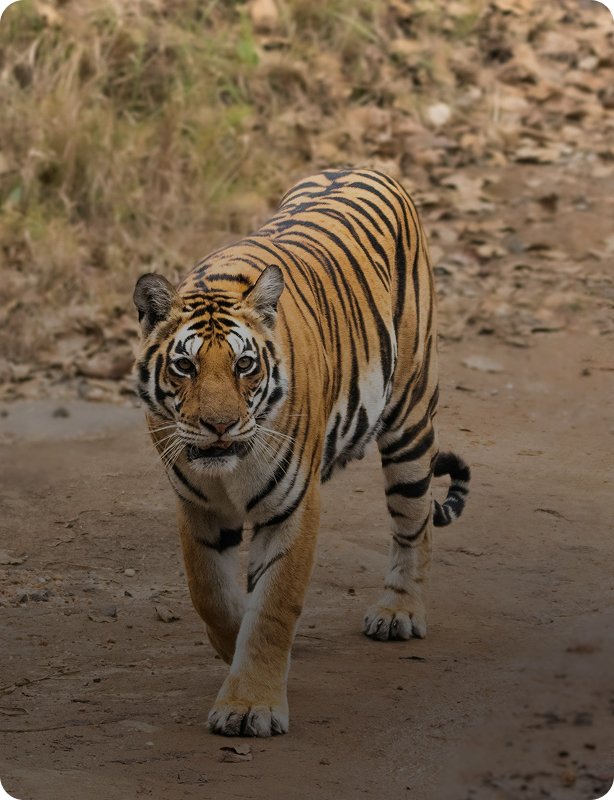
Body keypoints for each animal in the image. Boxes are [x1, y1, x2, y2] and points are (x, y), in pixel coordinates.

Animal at [133, 168, 470, 738]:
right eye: (185, 367)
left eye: (244, 365)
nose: (218, 426)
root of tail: (367, 167)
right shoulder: (197, 506)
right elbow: (212, 595)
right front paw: (234, 653)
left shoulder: (291, 506)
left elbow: (273, 606)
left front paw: (250, 705)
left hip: (410, 420)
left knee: (415, 523)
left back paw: (399, 612)